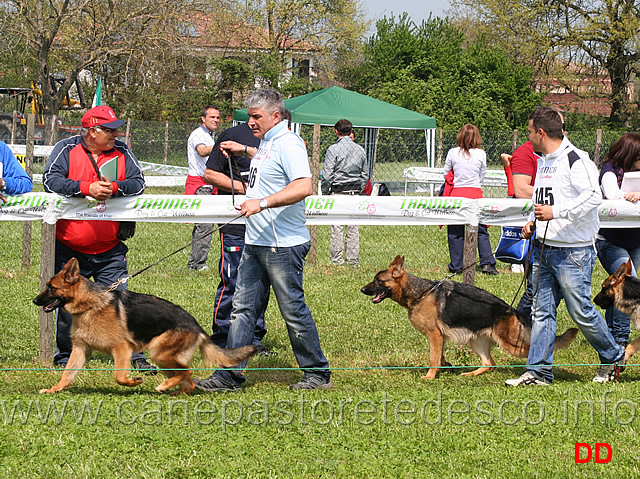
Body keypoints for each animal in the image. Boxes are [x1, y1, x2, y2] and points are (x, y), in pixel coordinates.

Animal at [33, 260, 258, 396]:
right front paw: (54, 389)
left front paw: (134, 381)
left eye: (51, 288)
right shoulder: (81, 349)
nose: (34, 301)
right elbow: (67, 374)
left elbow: (119, 376)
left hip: (159, 353)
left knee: (188, 371)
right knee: (189, 381)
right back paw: (173, 392)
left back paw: (165, 387)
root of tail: (196, 325)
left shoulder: (121, 348)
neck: (90, 305)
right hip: (164, 359)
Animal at [360, 256, 580, 380]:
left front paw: (430, 377)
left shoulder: (435, 335)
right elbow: (439, 356)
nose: (362, 290)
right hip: (476, 341)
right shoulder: (440, 338)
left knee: (535, 352)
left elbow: (433, 358)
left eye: (378, 281)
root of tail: (512, 311)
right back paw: (470, 374)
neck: (421, 293)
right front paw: (446, 367)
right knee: (489, 363)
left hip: (510, 345)